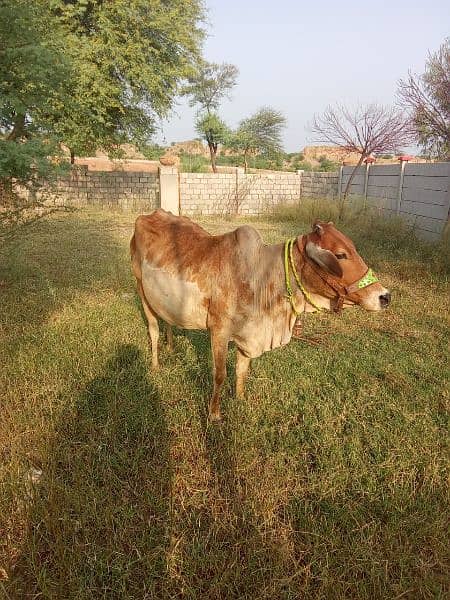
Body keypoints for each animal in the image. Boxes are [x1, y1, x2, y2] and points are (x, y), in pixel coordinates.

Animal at [130, 211, 390, 422]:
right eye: (341, 255)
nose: (385, 296)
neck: (262, 277)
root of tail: (148, 215)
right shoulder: (219, 330)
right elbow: (220, 375)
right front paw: (214, 414)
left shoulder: (248, 334)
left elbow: (242, 370)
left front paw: (240, 399)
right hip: (141, 289)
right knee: (153, 329)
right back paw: (156, 364)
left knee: (167, 321)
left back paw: (171, 346)